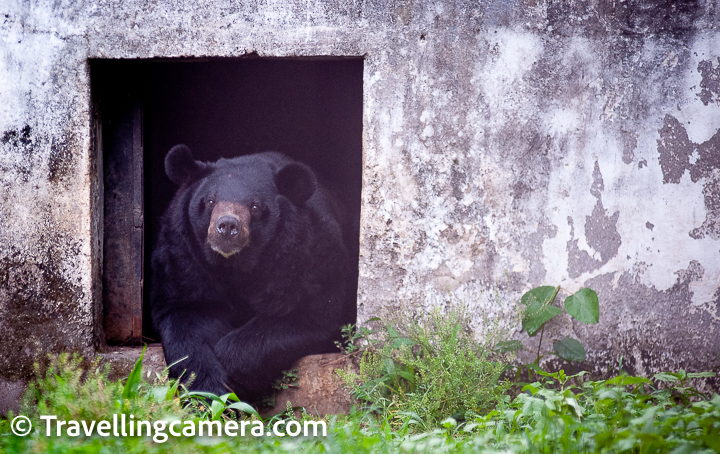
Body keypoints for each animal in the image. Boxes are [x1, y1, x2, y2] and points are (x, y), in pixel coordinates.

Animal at [150, 144, 352, 400]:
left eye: (255, 207)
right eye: (211, 201)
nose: (227, 226)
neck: (235, 266)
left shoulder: (308, 257)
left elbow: (309, 314)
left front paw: (234, 378)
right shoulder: (182, 260)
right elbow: (185, 321)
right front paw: (208, 392)